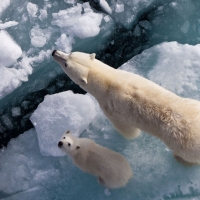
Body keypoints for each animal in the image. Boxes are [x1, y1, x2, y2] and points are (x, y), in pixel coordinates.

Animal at [52, 50, 200, 166]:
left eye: (66, 64)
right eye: (70, 54)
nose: (54, 52)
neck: (109, 82)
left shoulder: (111, 108)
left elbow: (126, 130)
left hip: (183, 144)